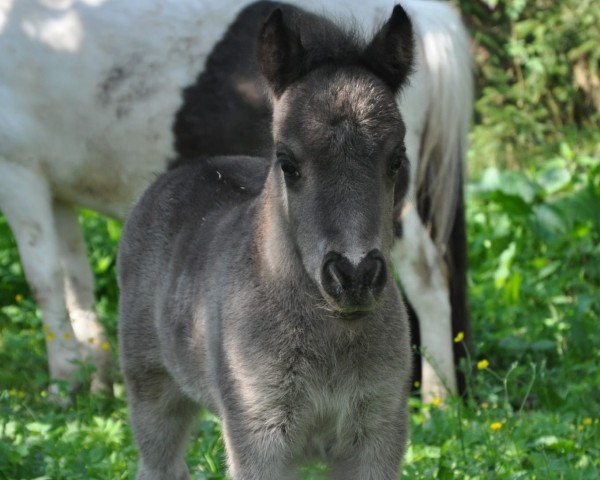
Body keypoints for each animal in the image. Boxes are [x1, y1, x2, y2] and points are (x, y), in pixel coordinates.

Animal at [0, 0, 472, 402]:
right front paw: (94, 381)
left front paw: (63, 387)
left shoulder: (18, 172)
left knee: (427, 279)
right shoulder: (57, 191)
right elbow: (75, 282)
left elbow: (44, 282)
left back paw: (438, 399)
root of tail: (426, 16)